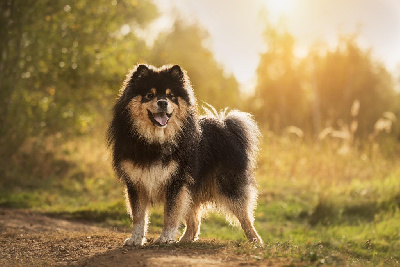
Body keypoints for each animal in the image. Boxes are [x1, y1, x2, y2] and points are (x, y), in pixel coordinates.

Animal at [107, 64, 262, 247]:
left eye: (170, 96)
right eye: (149, 95)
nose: (162, 102)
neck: (155, 141)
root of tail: (225, 126)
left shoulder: (176, 182)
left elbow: (170, 214)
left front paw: (165, 238)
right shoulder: (136, 182)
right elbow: (138, 217)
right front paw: (136, 239)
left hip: (229, 187)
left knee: (245, 217)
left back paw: (256, 241)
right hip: (192, 189)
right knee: (194, 220)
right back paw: (186, 239)